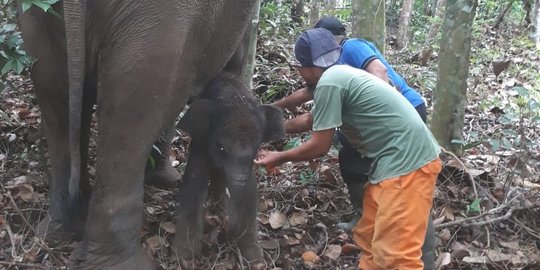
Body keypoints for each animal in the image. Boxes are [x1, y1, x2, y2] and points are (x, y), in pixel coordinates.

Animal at [17, 1, 258, 268]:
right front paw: (169, 180)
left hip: (38, 20)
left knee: (54, 89)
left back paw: (62, 230)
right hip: (161, 22)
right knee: (137, 101)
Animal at [175, 72, 284, 268]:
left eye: (257, 148)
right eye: (221, 147)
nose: (227, 229)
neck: (234, 99)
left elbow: (249, 189)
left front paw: (256, 261)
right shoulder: (202, 141)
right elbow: (193, 182)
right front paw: (184, 257)